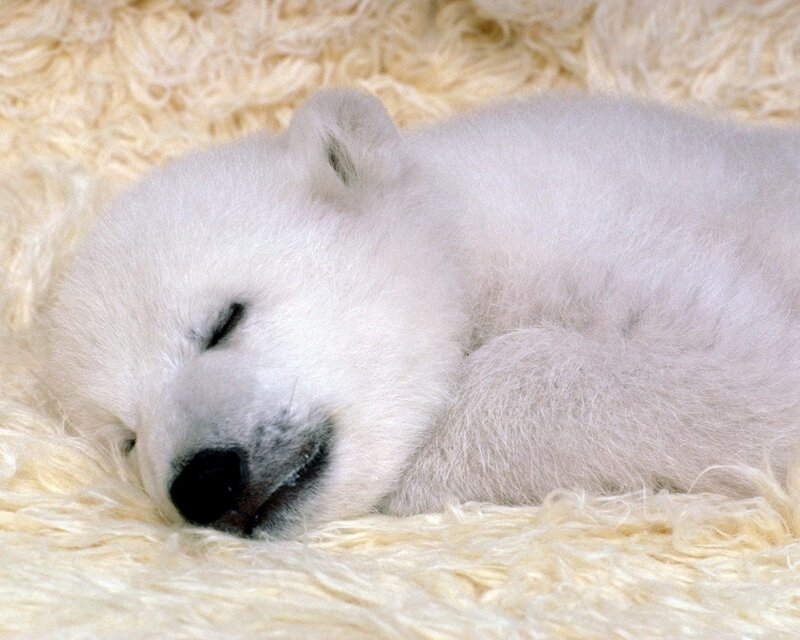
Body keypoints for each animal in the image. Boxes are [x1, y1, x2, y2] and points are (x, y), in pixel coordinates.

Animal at [44, 89, 800, 538]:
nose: (203, 481)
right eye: (126, 436)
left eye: (223, 321)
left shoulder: (605, 239)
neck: (462, 218)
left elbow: (746, 371)